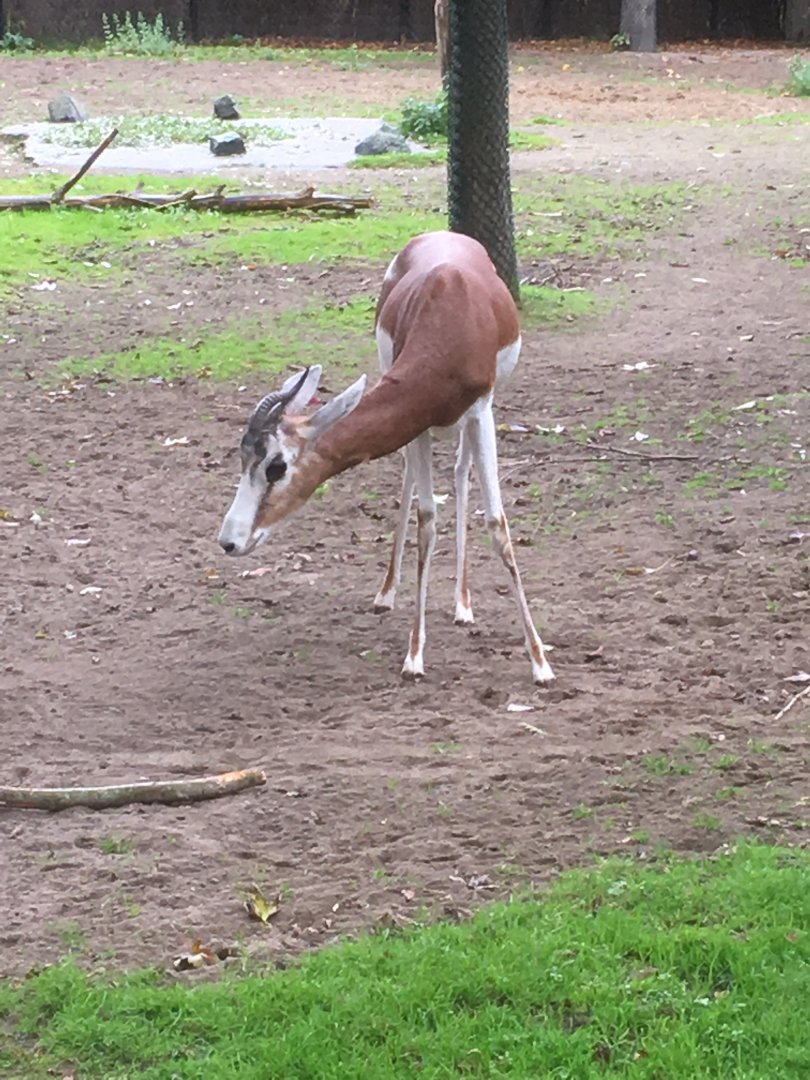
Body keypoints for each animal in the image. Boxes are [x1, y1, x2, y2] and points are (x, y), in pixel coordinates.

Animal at [218, 230, 554, 684]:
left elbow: (497, 524)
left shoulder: (482, 410)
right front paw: (414, 655)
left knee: (461, 472)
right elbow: (426, 520)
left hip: (471, 420)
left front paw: (540, 663)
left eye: (276, 466)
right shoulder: (418, 421)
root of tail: (442, 233)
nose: (229, 541)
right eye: (242, 462)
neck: (451, 320)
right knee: (411, 481)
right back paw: (387, 593)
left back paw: (463, 604)